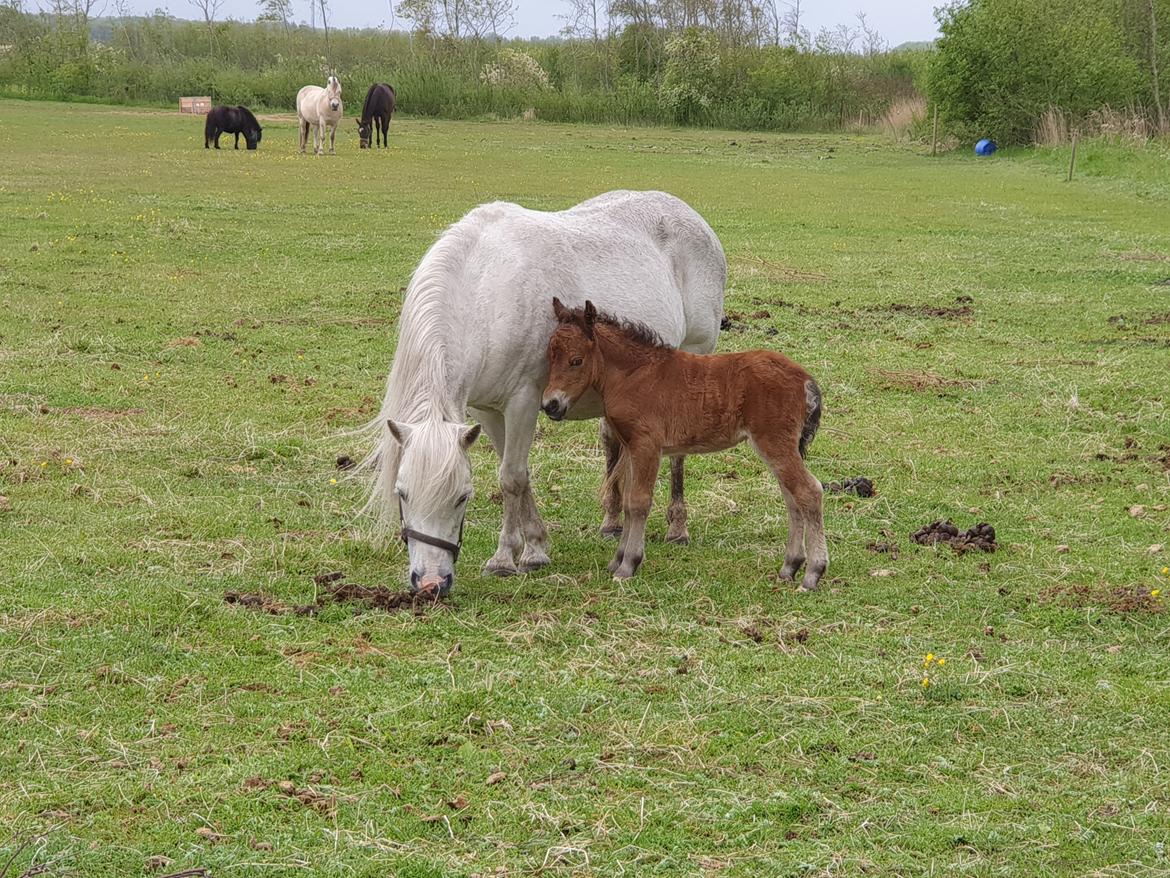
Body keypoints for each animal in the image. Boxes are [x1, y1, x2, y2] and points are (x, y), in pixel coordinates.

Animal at [360, 188, 725, 594]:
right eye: (402, 493)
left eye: (463, 497)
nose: (431, 583)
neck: (486, 292)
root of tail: (688, 214)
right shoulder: (485, 410)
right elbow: (518, 474)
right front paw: (535, 546)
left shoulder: (523, 400)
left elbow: (511, 477)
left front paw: (506, 557)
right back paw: (613, 523)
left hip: (693, 358)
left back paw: (678, 526)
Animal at [542, 297, 828, 592]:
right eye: (550, 356)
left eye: (576, 361)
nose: (550, 405)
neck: (634, 375)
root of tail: (805, 379)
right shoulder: (631, 448)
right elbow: (629, 503)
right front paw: (617, 560)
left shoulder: (647, 445)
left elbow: (639, 502)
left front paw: (628, 564)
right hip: (778, 446)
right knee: (792, 497)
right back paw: (790, 566)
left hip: (774, 442)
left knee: (809, 491)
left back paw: (812, 574)